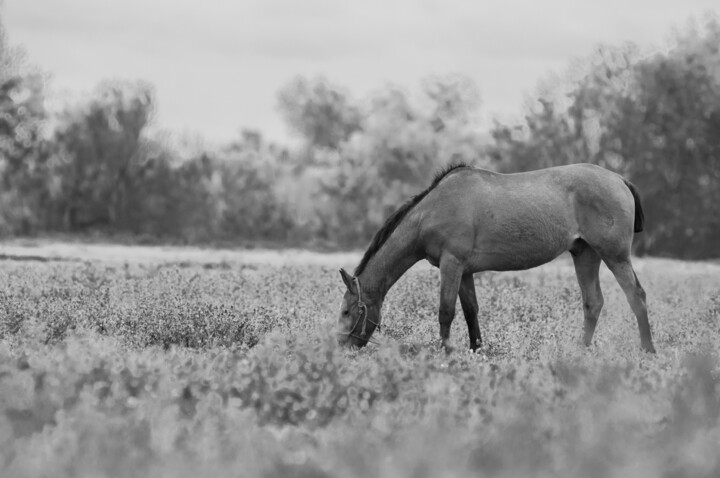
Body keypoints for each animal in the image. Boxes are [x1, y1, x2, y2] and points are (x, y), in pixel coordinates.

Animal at [334, 162, 656, 352]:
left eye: (347, 311)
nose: (341, 348)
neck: (431, 212)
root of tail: (619, 179)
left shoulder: (452, 264)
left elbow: (445, 312)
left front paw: (446, 354)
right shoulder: (464, 271)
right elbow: (470, 312)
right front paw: (476, 352)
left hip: (614, 255)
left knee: (636, 297)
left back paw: (648, 352)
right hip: (585, 254)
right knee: (593, 303)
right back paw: (581, 352)